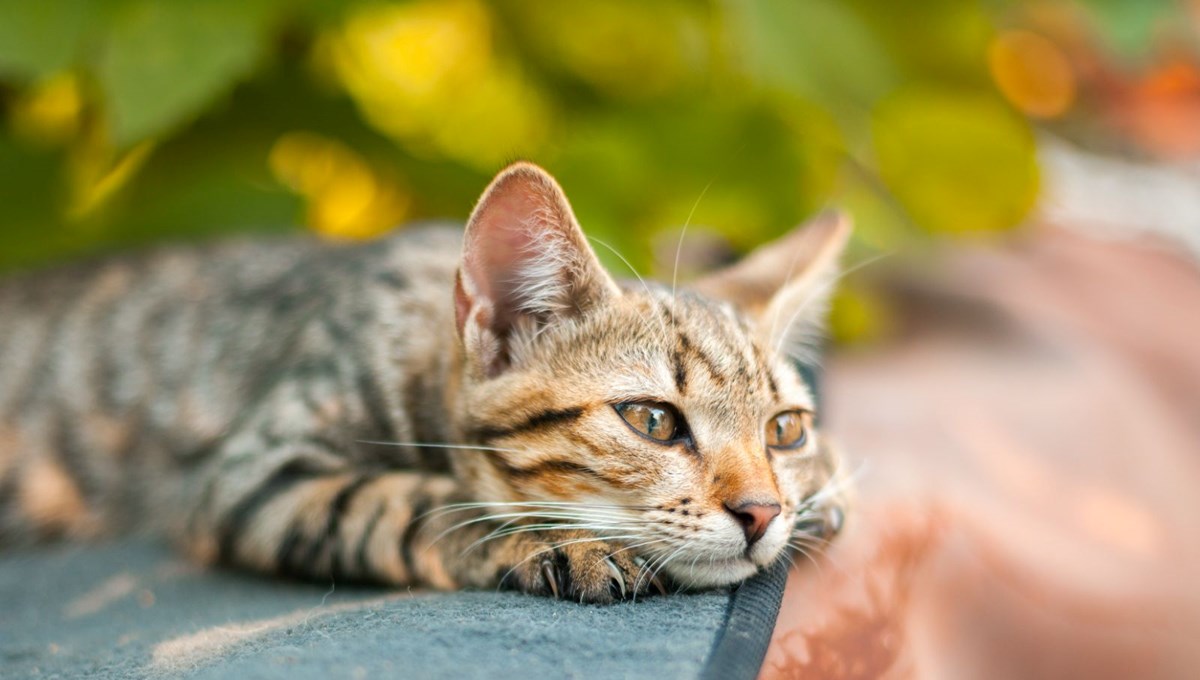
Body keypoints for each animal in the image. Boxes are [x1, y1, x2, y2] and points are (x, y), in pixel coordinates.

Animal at [0, 161, 849, 604]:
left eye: (784, 430)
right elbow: (410, 498)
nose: (762, 512)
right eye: (653, 421)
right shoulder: (254, 470)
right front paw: (555, 538)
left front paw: (824, 491)